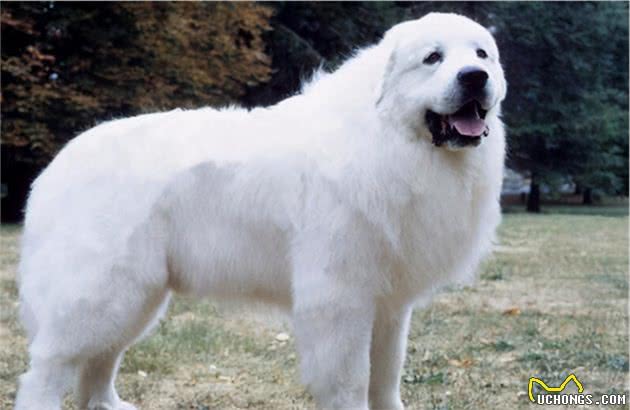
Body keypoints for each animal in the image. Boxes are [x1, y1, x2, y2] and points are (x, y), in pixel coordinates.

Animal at [15, 12, 506, 410]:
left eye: (482, 53)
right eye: (432, 58)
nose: (475, 77)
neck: (385, 136)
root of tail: (58, 165)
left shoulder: (388, 306)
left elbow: (385, 379)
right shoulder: (339, 299)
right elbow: (350, 383)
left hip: (138, 294)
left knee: (100, 362)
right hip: (102, 291)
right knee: (49, 367)